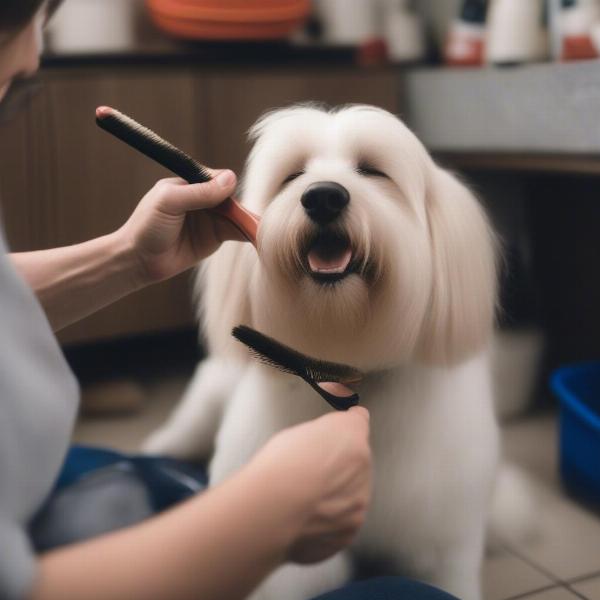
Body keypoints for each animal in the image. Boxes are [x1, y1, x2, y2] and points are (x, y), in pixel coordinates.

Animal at [144, 104, 502, 600]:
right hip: (209, 395)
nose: (323, 197)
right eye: (293, 176)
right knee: (185, 426)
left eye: (373, 170)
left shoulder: (441, 533)